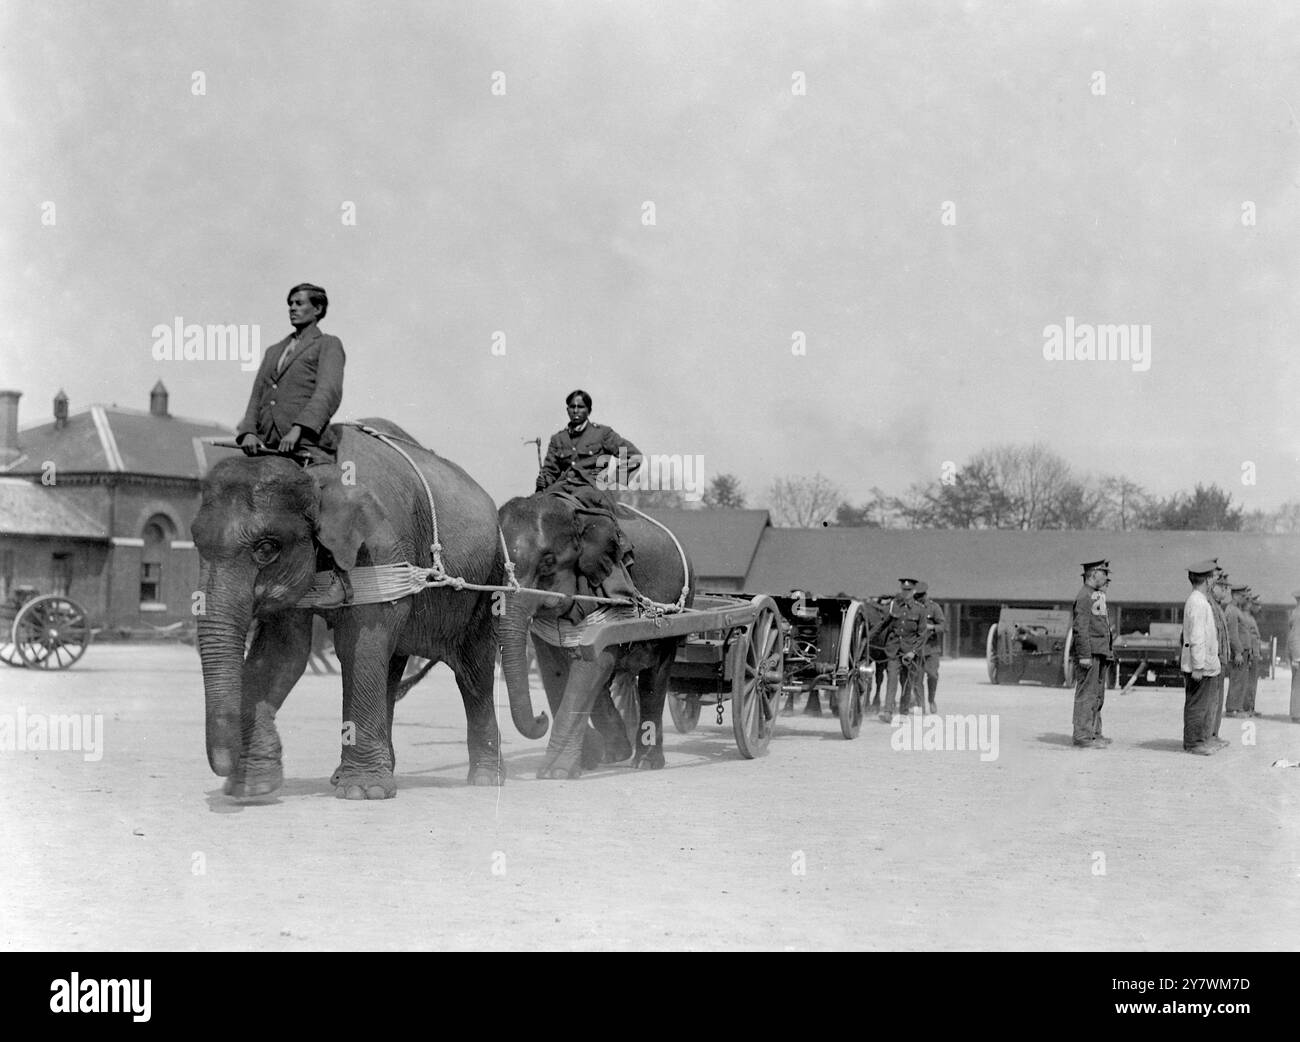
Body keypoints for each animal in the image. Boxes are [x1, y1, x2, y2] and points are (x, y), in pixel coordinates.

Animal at [190, 418, 504, 799]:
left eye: (266, 548)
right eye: (195, 541)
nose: (224, 769)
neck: (315, 468)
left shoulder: (380, 546)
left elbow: (360, 642)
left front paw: (362, 792)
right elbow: (284, 651)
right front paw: (253, 788)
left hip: (487, 583)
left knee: (474, 673)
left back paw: (486, 780)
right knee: (392, 666)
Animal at [497, 493, 695, 779]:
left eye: (548, 562)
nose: (541, 717)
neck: (577, 514)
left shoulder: (608, 599)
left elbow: (593, 665)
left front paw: (556, 771)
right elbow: (554, 670)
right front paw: (591, 756)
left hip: (673, 616)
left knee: (654, 678)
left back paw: (645, 762)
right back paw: (616, 753)